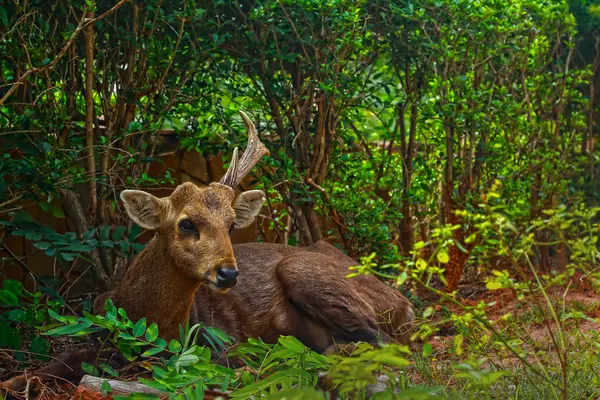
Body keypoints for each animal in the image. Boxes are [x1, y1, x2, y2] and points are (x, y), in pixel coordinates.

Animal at [1, 110, 412, 396]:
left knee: (386, 342)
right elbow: (61, 359)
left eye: (231, 225)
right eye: (186, 223)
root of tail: (406, 303)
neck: (147, 319)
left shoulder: (219, 342)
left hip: (305, 271)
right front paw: (15, 382)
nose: (228, 273)